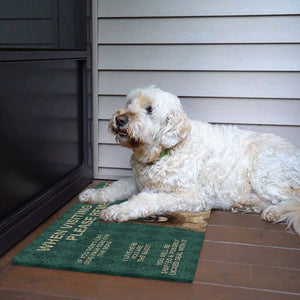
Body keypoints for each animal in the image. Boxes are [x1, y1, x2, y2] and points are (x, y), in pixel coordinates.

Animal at [79, 85, 300, 233]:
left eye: (150, 109)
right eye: (129, 103)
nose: (119, 119)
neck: (166, 151)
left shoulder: (193, 196)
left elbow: (147, 199)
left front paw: (118, 210)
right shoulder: (139, 181)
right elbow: (118, 186)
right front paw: (93, 194)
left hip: (266, 171)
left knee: (293, 198)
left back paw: (274, 212)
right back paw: (247, 205)